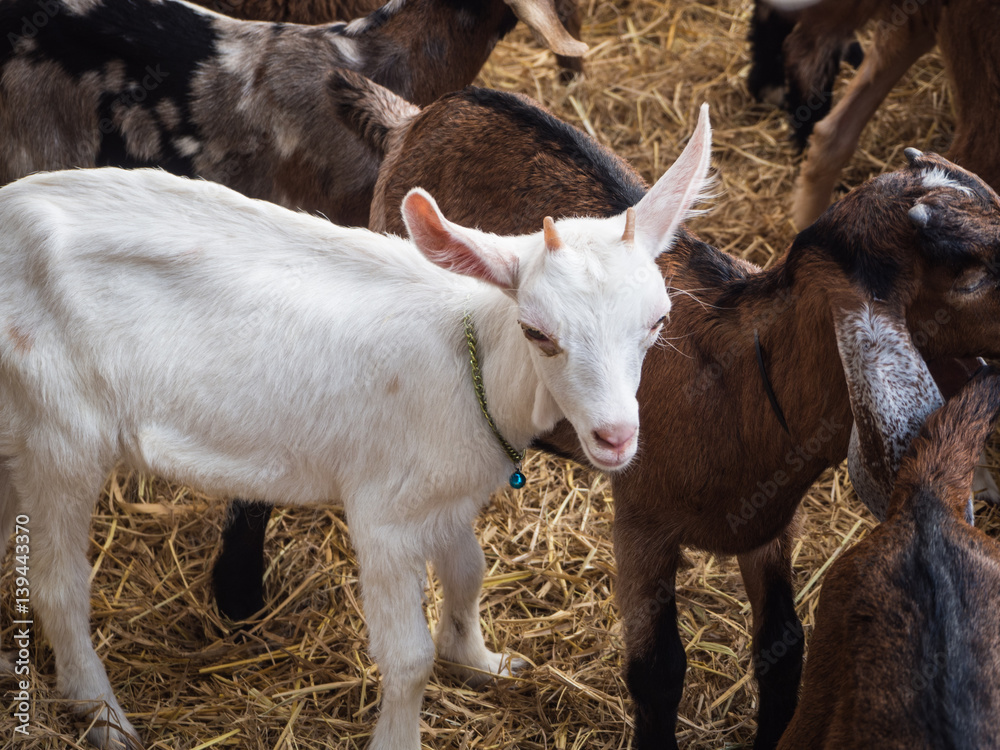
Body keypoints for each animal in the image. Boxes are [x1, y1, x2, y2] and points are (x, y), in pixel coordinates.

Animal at [0, 111, 710, 749]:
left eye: (657, 321)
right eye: (538, 332)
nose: (615, 437)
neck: (474, 354)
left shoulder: (449, 494)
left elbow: (469, 571)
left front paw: (481, 661)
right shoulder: (385, 514)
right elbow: (409, 658)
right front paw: (402, 734)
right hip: (59, 432)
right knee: (59, 588)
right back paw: (106, 722)